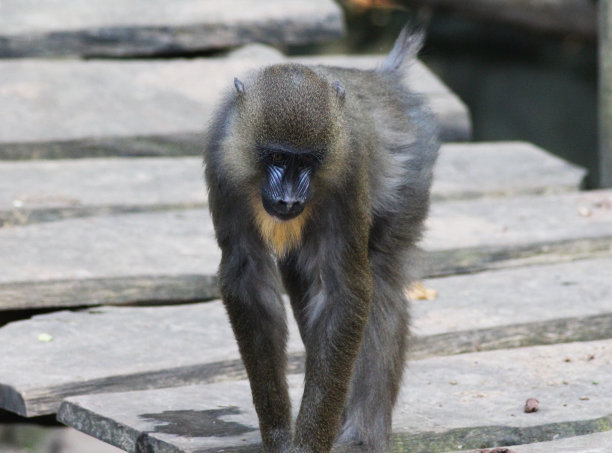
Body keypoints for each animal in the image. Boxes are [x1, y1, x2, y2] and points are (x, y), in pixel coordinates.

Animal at [206, 25, 440, 452]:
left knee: (382, 282)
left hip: (409, 181)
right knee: (303, 284)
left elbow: (345, 289)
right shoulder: (222, 159)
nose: (288, 198)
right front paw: (279, 435)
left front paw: (309, 442)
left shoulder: (347, 164)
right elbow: (249, 279)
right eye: (277, 158)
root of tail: (385, 80)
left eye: (307, 162)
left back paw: (363, 433)